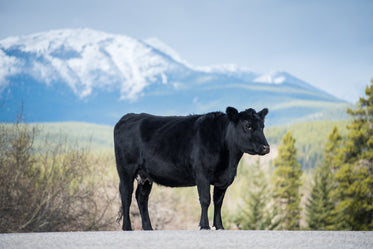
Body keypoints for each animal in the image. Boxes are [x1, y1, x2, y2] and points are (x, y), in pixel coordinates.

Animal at [112, 106, 268, 231]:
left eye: (262, 126)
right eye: (248, 125)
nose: (266, 147)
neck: (229, 162)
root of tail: (129, 116)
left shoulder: (223, 180)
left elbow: (218, 202)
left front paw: (219, 226)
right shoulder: (202, 175)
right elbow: (205, 199)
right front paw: (204, 225)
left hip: (145, 175)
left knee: (141, 197)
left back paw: (148, 227)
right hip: (125, 170)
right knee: (126, 195)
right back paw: (127, 227)